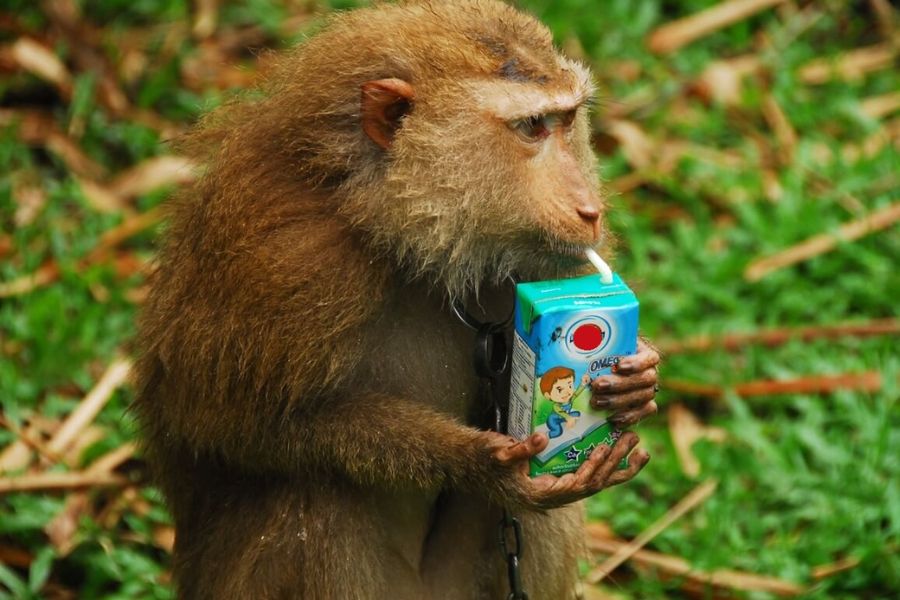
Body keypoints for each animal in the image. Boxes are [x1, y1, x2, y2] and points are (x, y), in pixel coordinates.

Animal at [133, 1, 661, 598]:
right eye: (531, 127)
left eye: (568, 120)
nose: (590, 209)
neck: (382, 220)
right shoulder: (286, 264)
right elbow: (229, 428)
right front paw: (480, 464)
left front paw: (635, 383)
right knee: (317, 498)